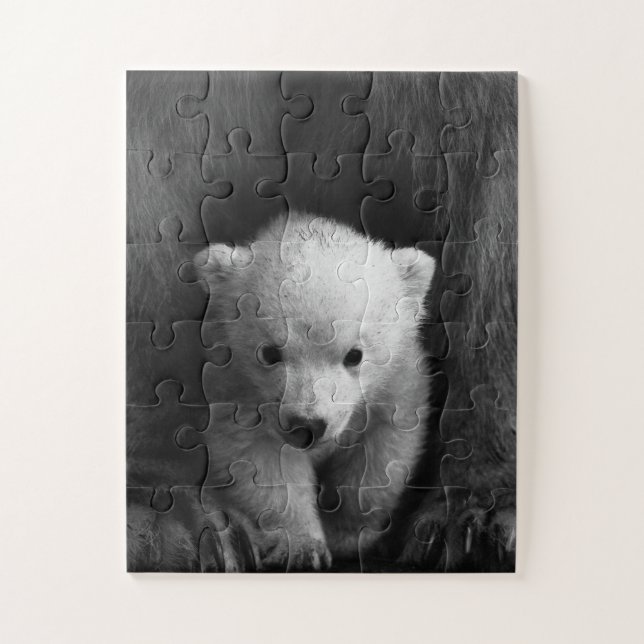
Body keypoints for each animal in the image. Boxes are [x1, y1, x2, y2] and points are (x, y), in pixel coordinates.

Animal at [192, 211, 436, 571]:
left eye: (354, 355)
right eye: (270, 353)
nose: (307, 426)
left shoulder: (397, 384)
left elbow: (381, 457)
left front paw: (345, 533)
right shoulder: (237, 388)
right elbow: (261, 464)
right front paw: (304, 545)